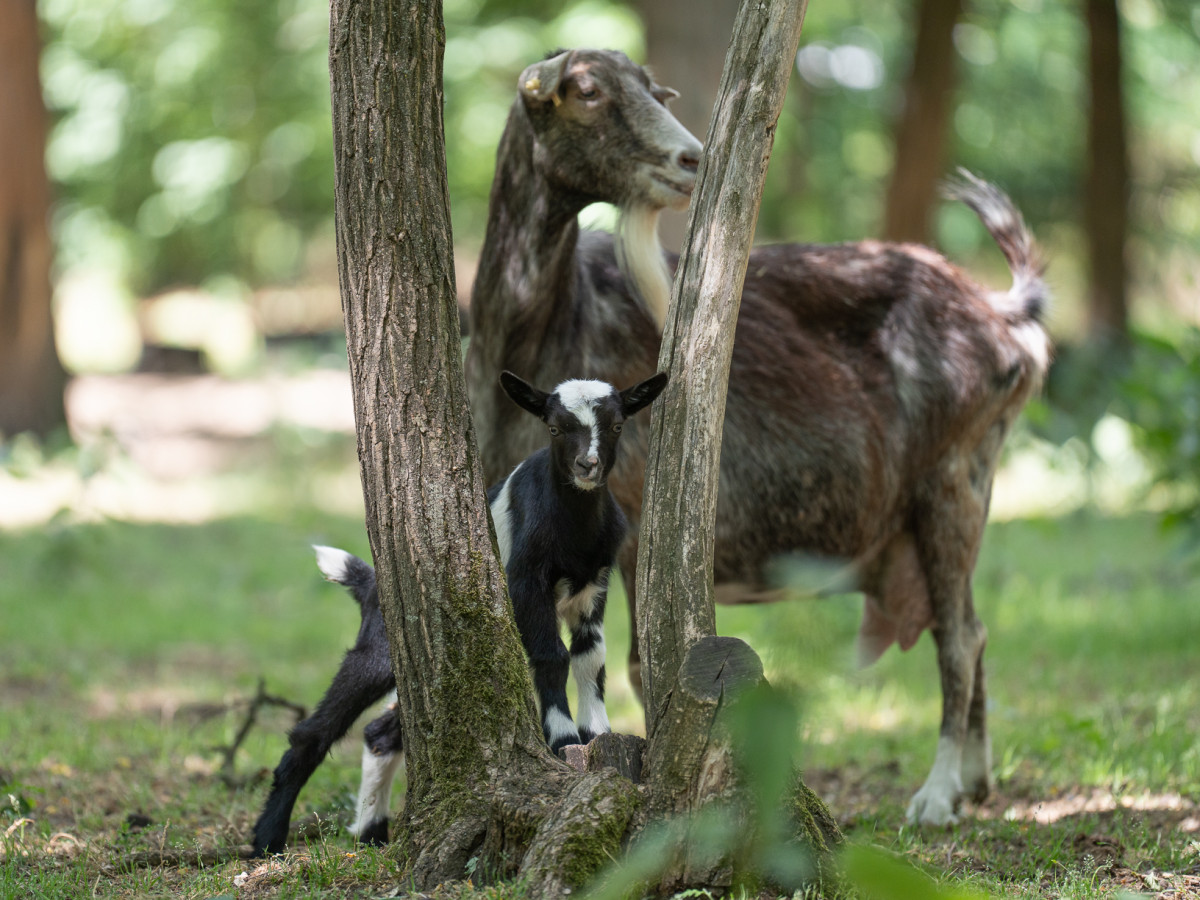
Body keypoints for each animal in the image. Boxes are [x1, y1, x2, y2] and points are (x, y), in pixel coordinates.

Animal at [252, 372, 667, 854]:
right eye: (554, 428)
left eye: (617, 425)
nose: (588, 465)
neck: (574, 531)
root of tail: (374, 584)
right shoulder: (527, 584)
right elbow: (553, 657)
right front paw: (563, 738)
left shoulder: (593, 586)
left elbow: (590, 658)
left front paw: (597, 733)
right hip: (383, 646)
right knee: (316, 730)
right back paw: (267, 839)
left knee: (381, 732)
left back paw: (371, 833)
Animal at [460, 45, 1051, 830]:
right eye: (586, 91)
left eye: (653, 90)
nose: (690, 158)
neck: (548, 325)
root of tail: (1005, 316)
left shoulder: (636, 521)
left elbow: (643, 662)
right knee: (973, 628)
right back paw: (976, 783)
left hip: (957, 477)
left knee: (961, 637)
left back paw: (934, 796)